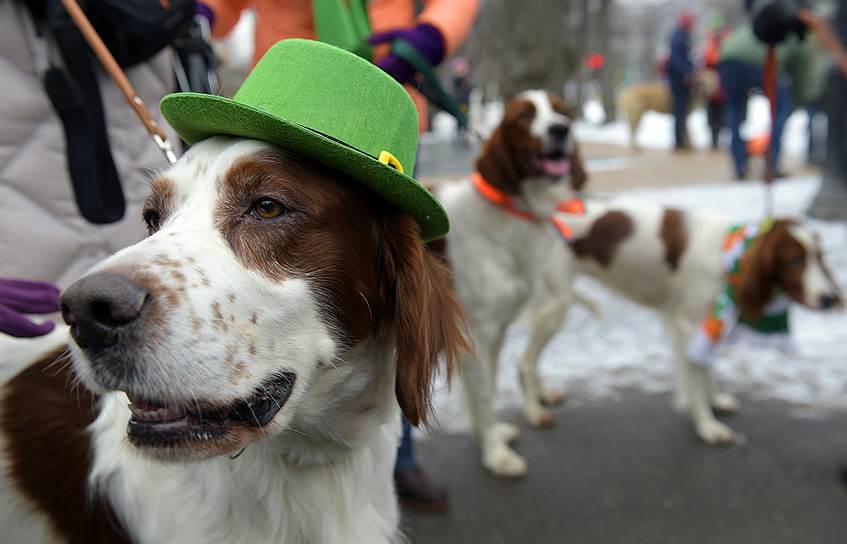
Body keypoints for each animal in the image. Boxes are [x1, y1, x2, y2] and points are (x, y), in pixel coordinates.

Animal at [434, 89, 588, 476]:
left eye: (563, 111)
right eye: (524, 116)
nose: (561, 129)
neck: (510, 213)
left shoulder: (498, 329)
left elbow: (487, 385)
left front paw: (488, 438)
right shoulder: (475, 332)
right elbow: (484, 394)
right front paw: (496, 456)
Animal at [520, 198, 844, 444]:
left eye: (819, 257)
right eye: (795, 260)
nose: (829, 298)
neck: (726, 255)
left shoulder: (708, 320)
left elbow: (707, 368)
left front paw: (715, 401)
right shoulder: (688, 324)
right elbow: (696, 378)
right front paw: (707, 426)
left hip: (551, 307)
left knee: (533, 360)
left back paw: (543, 395)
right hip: (554, 305)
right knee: (524, 363)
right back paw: (533, 412)